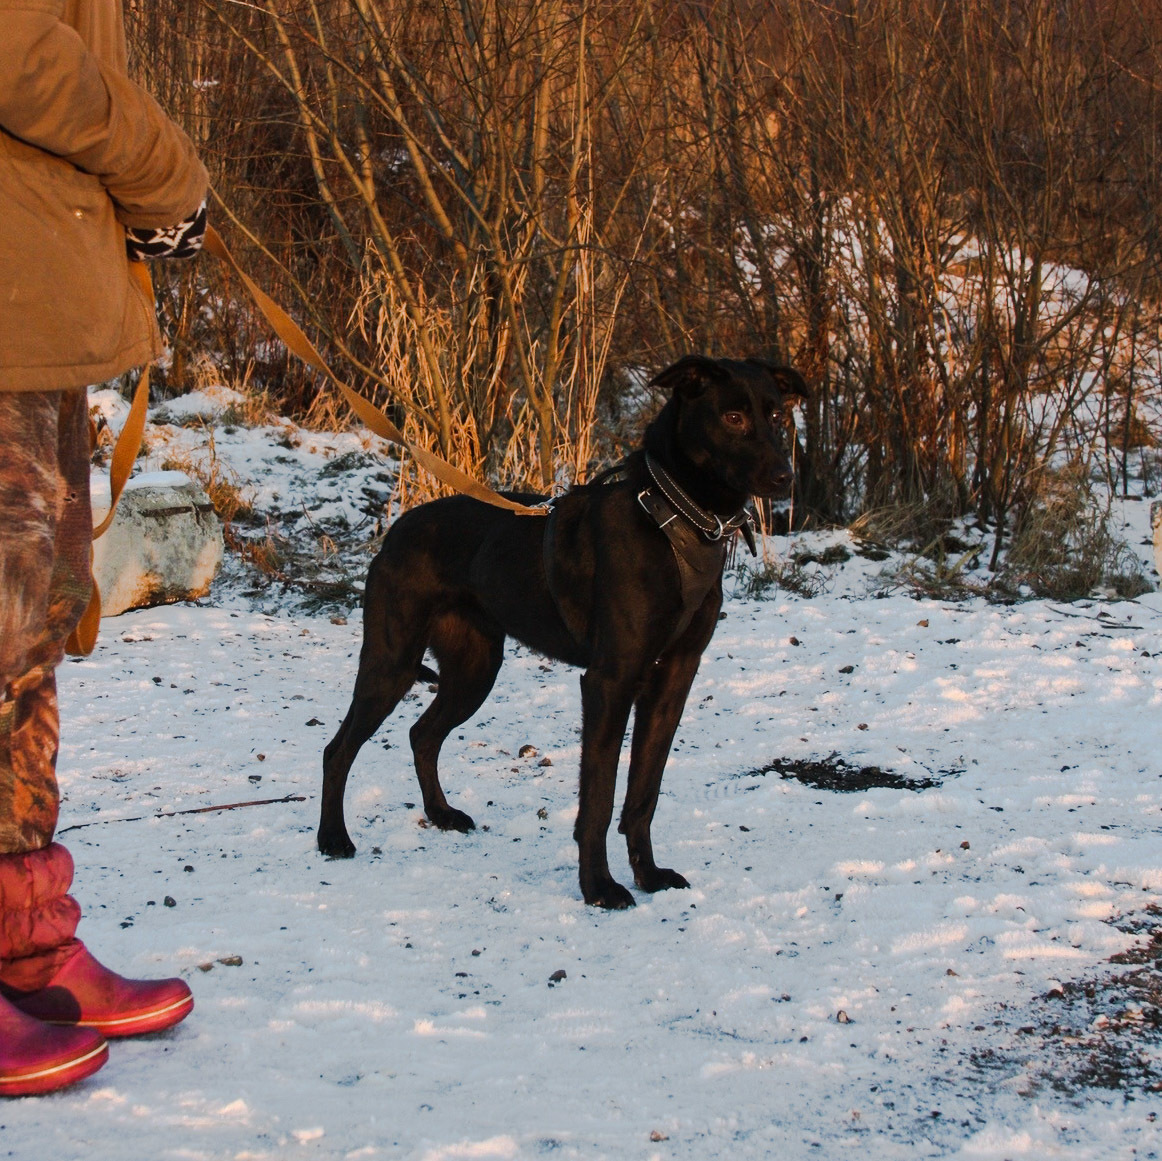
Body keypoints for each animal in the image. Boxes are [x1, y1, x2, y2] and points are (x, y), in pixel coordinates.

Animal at [318, 353, 808, 906]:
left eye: (777, 416)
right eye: (733, 418)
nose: (785, 477)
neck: (675, 519)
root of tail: (396, 530)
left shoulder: (673, 680)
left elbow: (644, 792)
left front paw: (648, 875)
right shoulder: (609, 682)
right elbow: (598, 799)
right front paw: (599, 887)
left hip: (474, 669)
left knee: (422, 734)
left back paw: (441, 814)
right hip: (393, 661)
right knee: (338, 749)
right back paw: (333, 838)